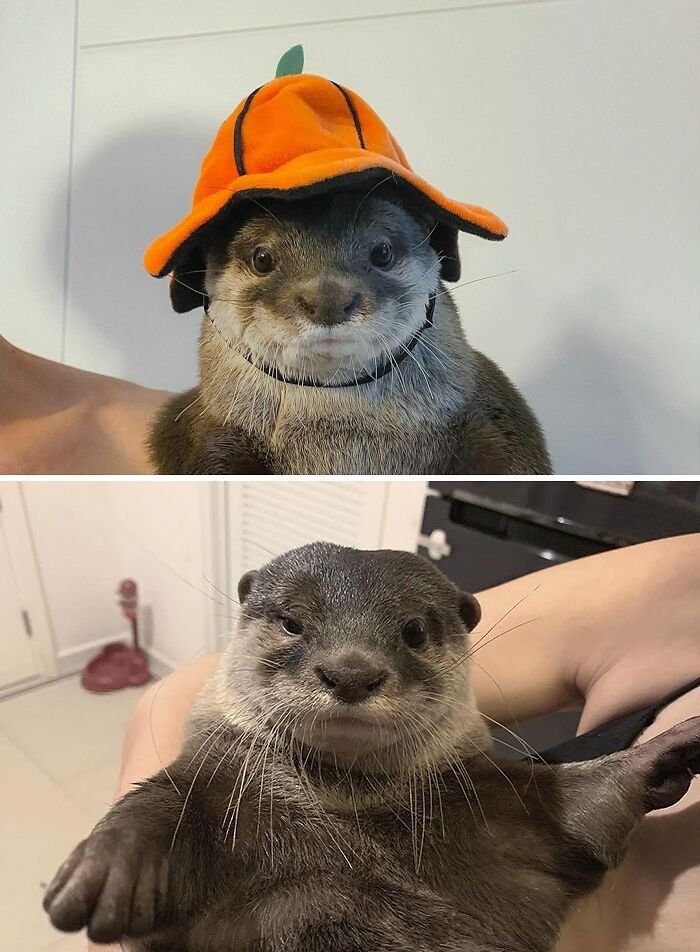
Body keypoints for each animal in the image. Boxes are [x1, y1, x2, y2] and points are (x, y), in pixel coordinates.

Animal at [44, 544, 699, 951]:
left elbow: (583, 803)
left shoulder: (505, 810)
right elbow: (157, 806)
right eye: (292, 622)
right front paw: (111, 867)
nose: (351, 672)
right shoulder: (216, 780)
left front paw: (669, 746)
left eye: (414, 630)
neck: (345, 808)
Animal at [149, 189, 551, 475]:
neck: (342, 434)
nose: (328, 300)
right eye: (262, 258)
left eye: (382, 251)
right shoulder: (208, 431)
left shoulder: (498, 420)